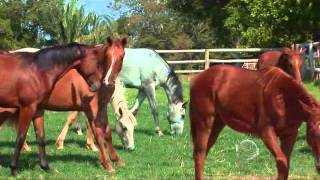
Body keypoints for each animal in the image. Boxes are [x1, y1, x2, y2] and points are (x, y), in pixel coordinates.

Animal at [0, 38, 121, 175]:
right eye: (98, 63)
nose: (97, 86)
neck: (37, 70)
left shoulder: (38, 110)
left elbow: (40, 137)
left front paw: (46, 167)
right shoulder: (28, 108)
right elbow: (20, 137)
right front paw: (14, 169)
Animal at [190, 65, 320, 180]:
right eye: (313, 131)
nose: (319, 167)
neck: (283, 98)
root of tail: (197, 78)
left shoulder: (290, 135)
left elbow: (285, 165)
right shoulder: (266, 132)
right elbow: (281, 162)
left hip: (216, 126)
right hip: (204, 123)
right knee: (199, 154)